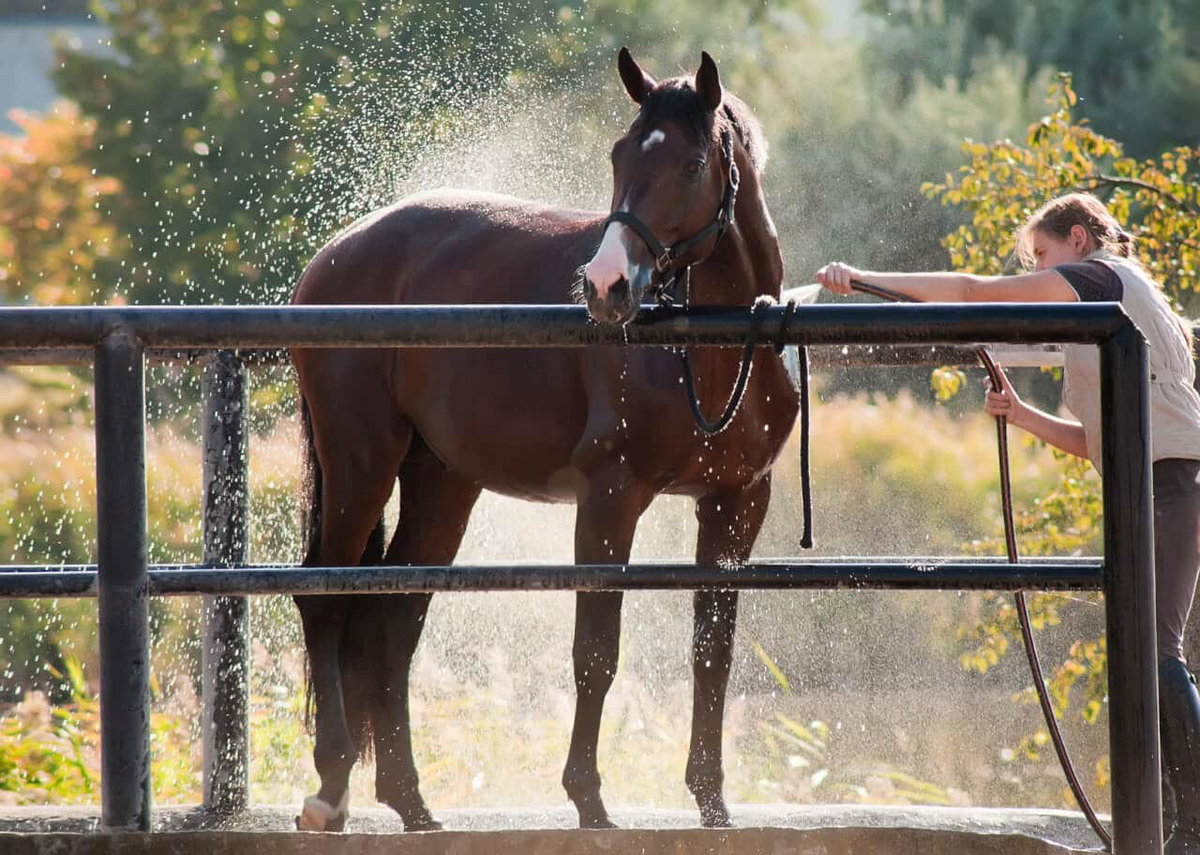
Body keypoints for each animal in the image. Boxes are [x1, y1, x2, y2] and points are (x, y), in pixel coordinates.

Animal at [289, 48, 800, 833]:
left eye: (691, 165)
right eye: (620, 153)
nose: (607, 285)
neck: (706, 349)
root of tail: (336, 254)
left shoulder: (737, 502)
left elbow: (711, 651)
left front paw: (712, 802)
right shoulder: (610, 498)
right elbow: (595, 652)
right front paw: (589, 799)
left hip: (441, 483)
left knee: (393, 619)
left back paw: (411, 802)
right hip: (360, 466)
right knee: (325, 596)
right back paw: (330, 787)